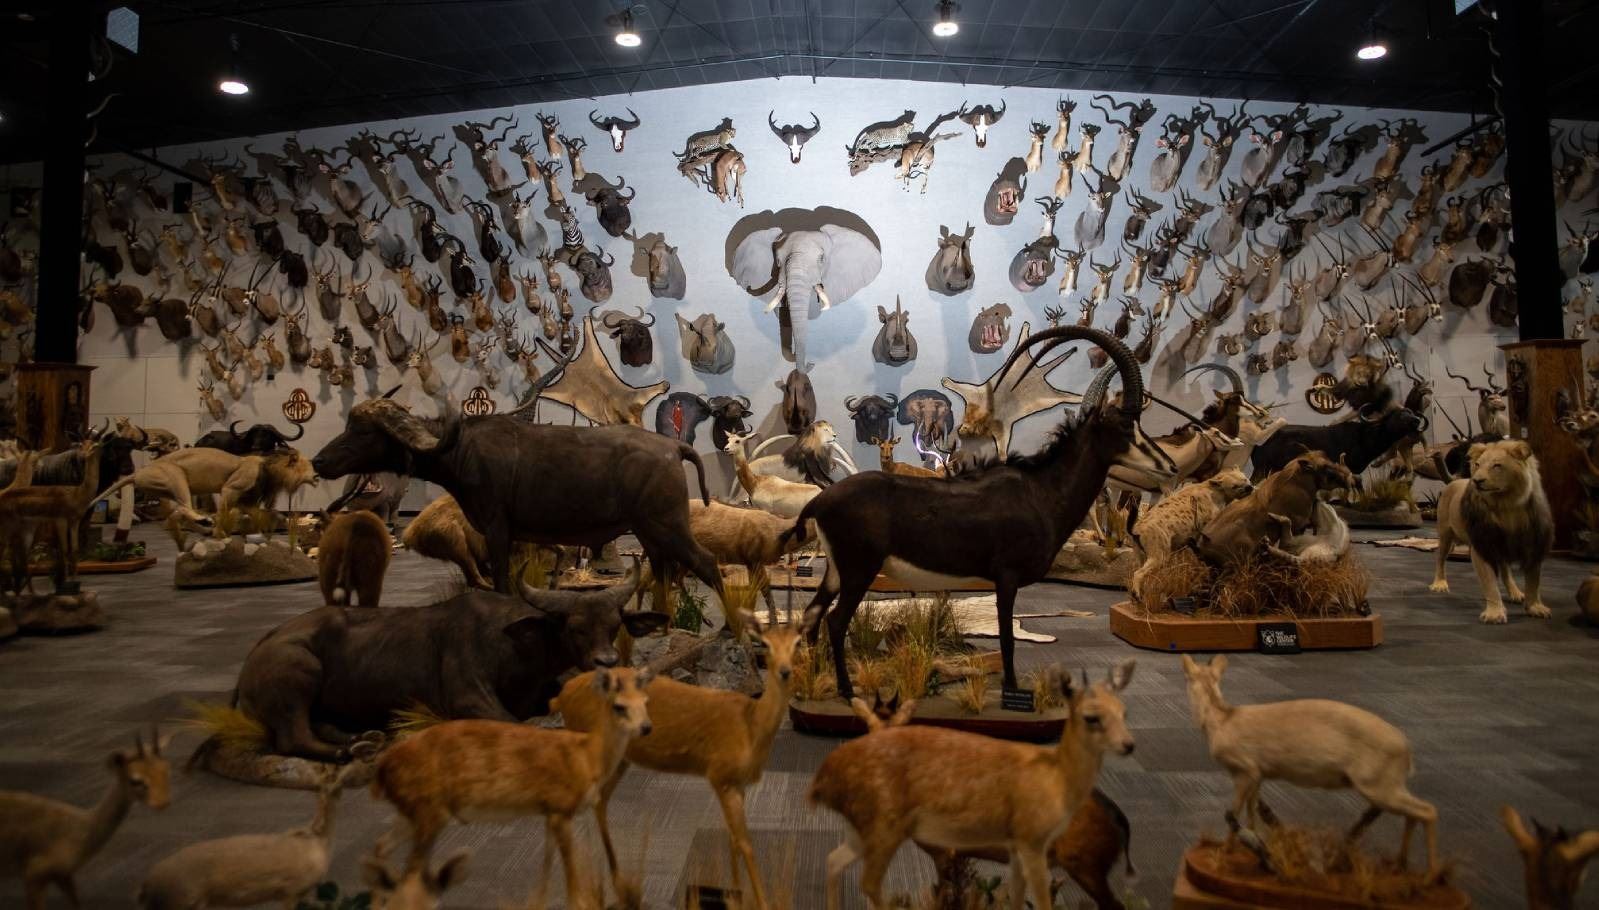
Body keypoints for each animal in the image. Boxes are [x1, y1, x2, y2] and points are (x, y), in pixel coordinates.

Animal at [1429, 439, 1553, 623]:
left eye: (1497, 465)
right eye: (1478, 464)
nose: (1476, 481)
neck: (1506, 505)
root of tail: (1454, 482)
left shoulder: (1534, 543)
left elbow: (1533, 581)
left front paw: (1535, 607)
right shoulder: (1483, 544)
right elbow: (1489, 582)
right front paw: (1495, 613)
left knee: (1505, 571)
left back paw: (1515, 592)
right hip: (1445, 535)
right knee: (1440, 559)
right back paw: (1439, 584)